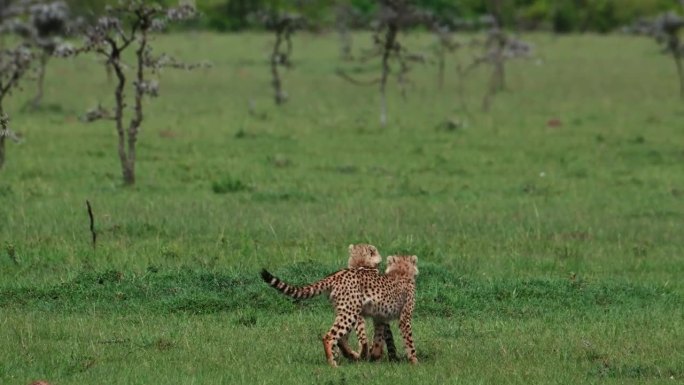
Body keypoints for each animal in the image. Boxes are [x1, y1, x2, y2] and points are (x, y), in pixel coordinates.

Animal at [260, 254, 416, 364]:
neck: (401, 271)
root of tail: (336, 275)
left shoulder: (380, 317)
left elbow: (378, 338)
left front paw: (376, 356)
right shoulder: (404, 317)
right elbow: (409, 341)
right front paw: (414, 363)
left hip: (347, 310)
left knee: (341, 338)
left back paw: (352, 356)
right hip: (350, 312)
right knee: (330, 337)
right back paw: (333, 364)